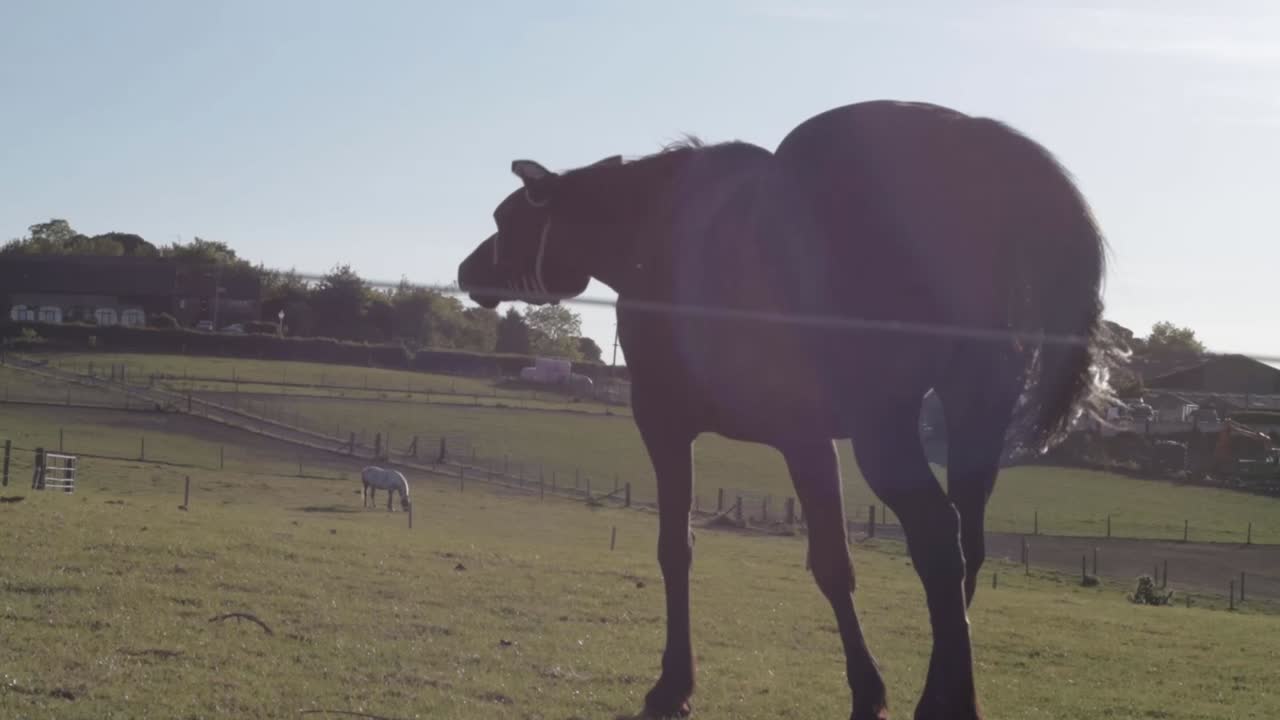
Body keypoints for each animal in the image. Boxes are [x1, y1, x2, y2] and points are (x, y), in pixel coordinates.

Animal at [457, 99, 1115, 720]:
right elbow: (833, 564)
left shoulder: (664, 422)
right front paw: (868, 690)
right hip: (973, 415)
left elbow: (677, 548)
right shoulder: (808, 441)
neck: (654, 227)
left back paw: (946, 703)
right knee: (966, 547)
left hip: (886, 431)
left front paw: (674, 684)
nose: (467, 271)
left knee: (937, 539)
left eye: (506, 219)